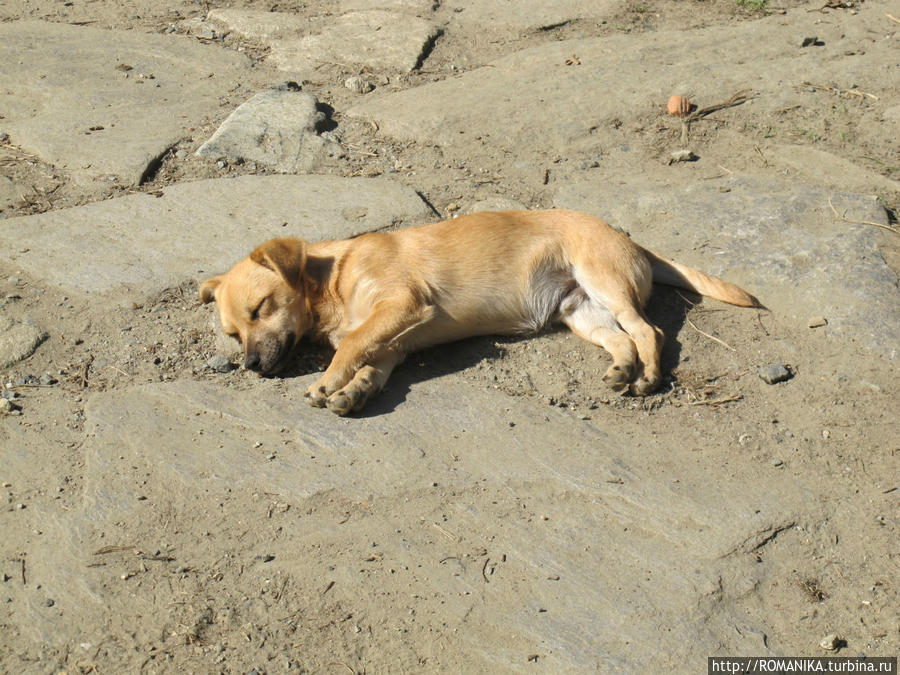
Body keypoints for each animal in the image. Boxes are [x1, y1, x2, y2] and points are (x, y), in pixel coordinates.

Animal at [200, 209, 756, 414]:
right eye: (232, 335)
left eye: (261, 307)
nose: (251, 366)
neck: (332, 278)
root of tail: (632, 242)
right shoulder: (395, 341)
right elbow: (371, 366)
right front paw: (355, 390)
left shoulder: (401, 304)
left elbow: (354, 346)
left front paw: (328, 381)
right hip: (581, 312)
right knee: (622, 339)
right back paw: (621, 370)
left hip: (607, 283)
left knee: (650, 331)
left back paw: (649, 377)